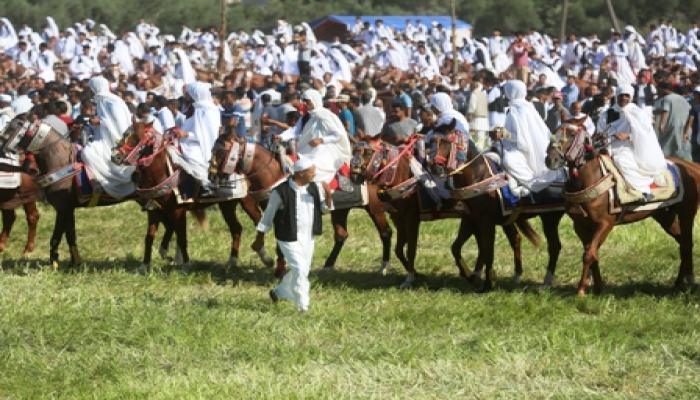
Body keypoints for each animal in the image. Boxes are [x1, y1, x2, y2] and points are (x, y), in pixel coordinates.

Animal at [426, 122, 568, 290]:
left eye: (447, 142)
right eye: (430, 142)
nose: (435, 168)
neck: (478, 176)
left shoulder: (486, 221)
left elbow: (487, 249)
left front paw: (488, 282)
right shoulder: (471, 219)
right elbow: (457, 248)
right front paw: (471, 276)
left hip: (550, 218)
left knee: (554, 246)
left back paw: (546, 282)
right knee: (517, 239)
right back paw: (517, 276)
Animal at [548, 123, 700, 296]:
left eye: (572, 134)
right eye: (554, 132)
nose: (551, 159)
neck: (589, 178)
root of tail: (692, 166)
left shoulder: (605, 224)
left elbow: (589, 254)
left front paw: (580, 290)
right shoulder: (580, 225)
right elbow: (592, 252)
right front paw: (598, 288)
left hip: (687, 214)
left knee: (686, 244)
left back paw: (685, 283)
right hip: (666, 218)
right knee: (683, 244)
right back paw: (679, 282)